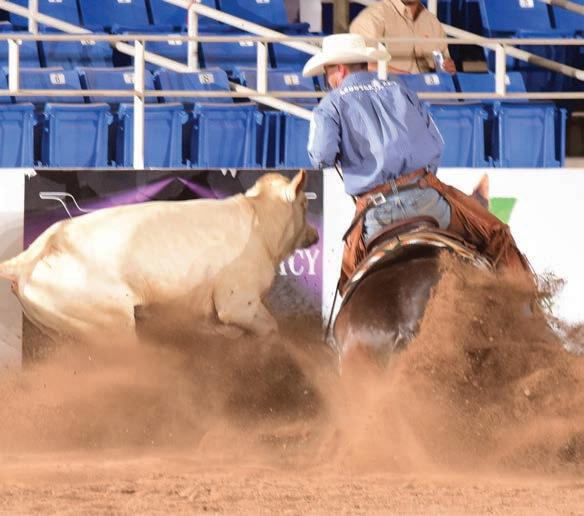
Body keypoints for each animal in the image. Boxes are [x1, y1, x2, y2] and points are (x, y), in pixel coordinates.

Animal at [0, 170, 318, 344]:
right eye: (304, 204)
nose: (315, 234)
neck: (261, 223)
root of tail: (35, 252)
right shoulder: (239, 301)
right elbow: (269, 328)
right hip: (111, 326)